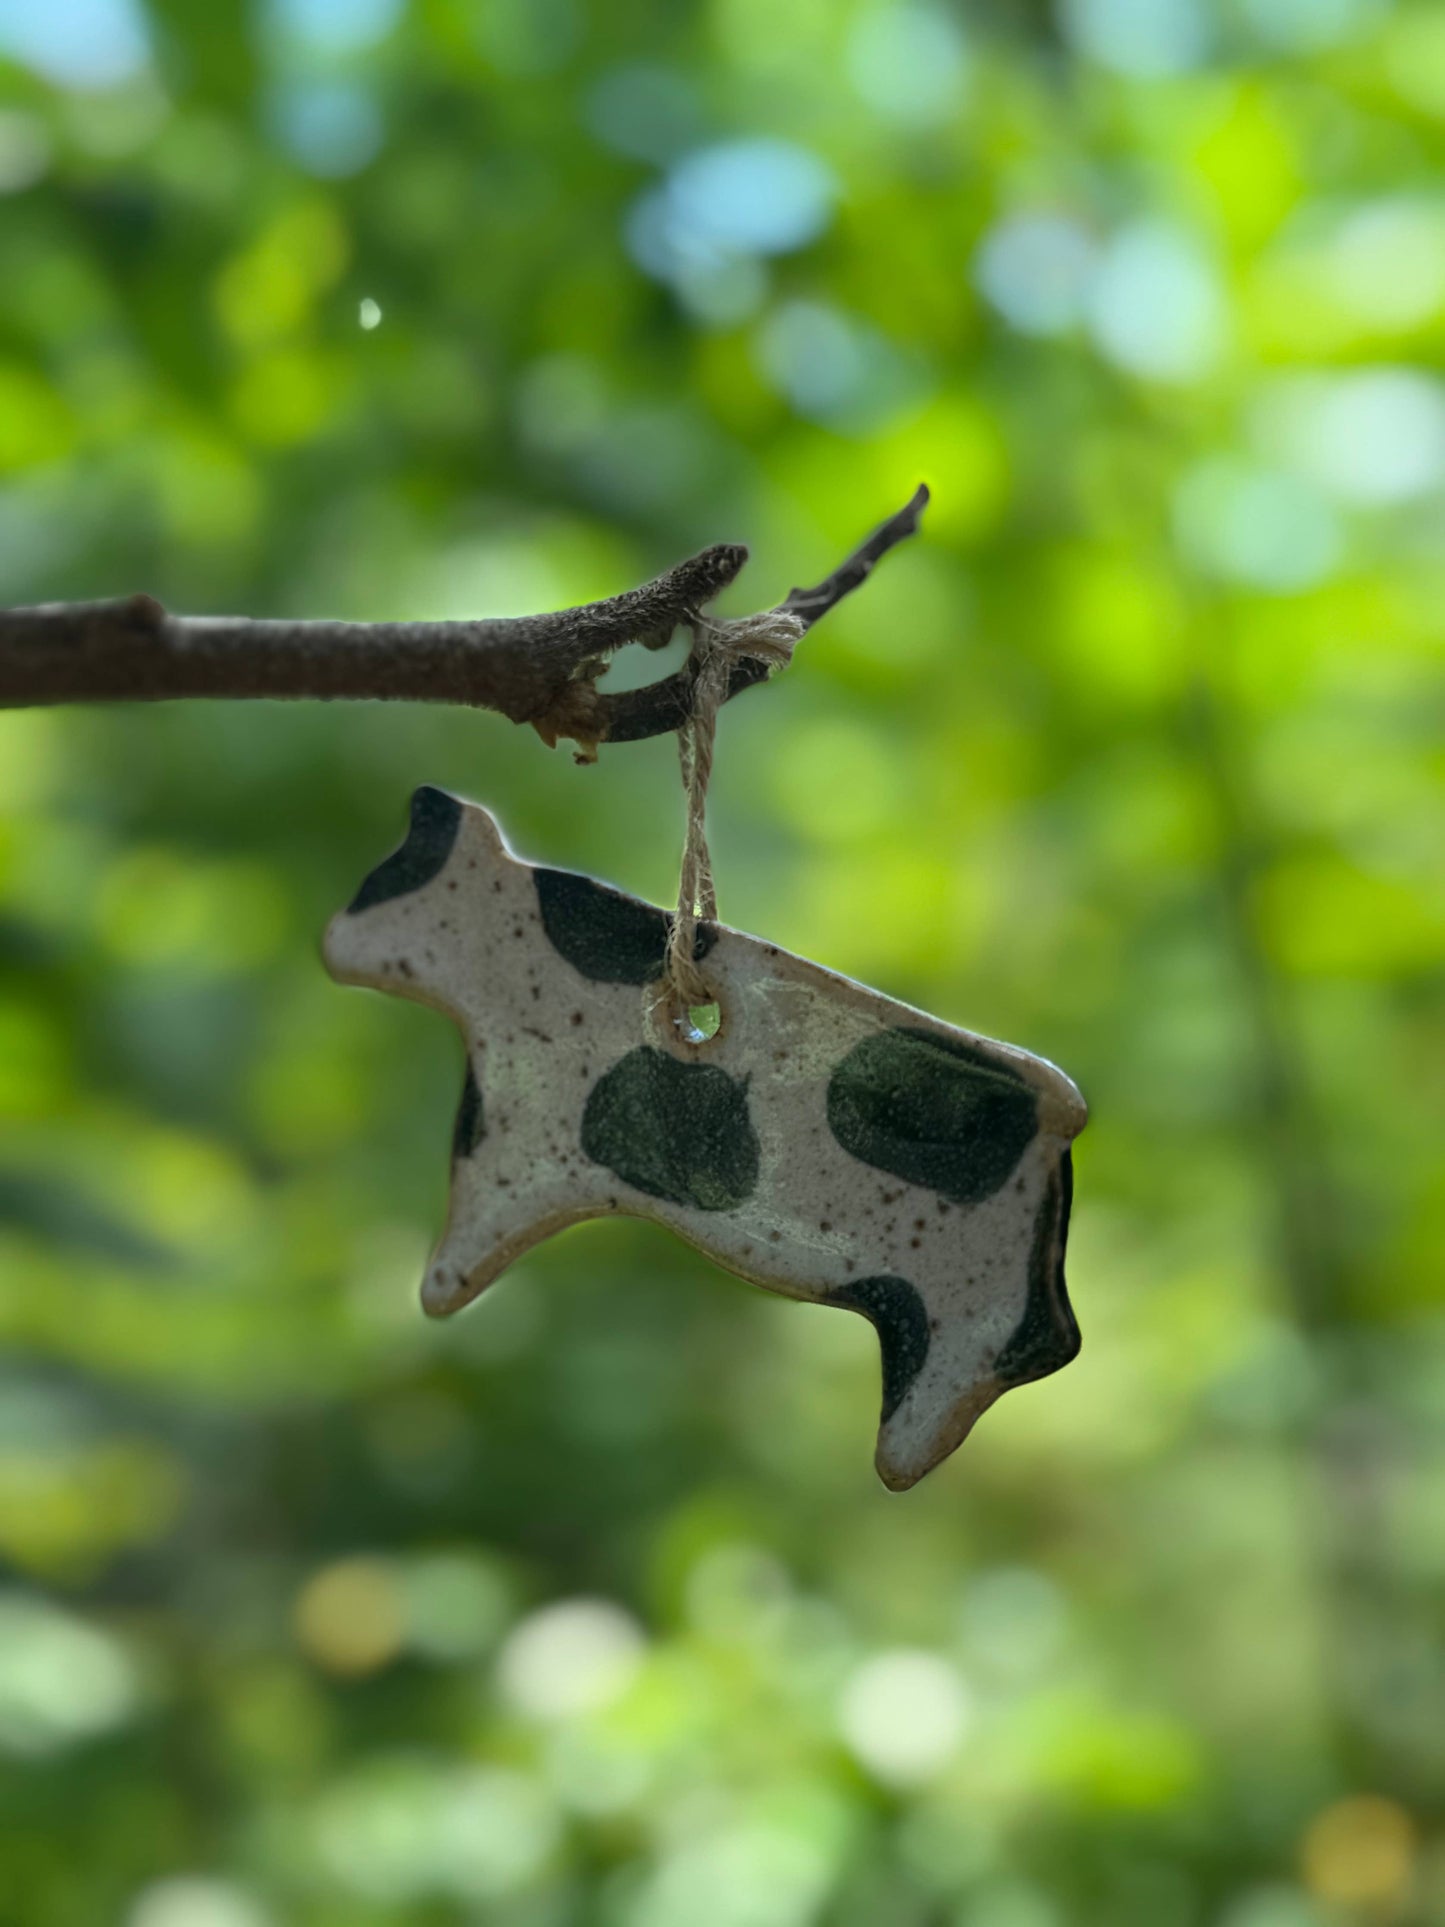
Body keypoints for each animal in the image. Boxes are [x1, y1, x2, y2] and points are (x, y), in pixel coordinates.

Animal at [324, 787, 1087, 1489]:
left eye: (383, 881)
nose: (331, 936)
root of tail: (1061, 1121)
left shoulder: (516, 1141)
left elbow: (471, 1227)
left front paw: (439, 1287)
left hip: (961, 1303)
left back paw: (901, 1456)